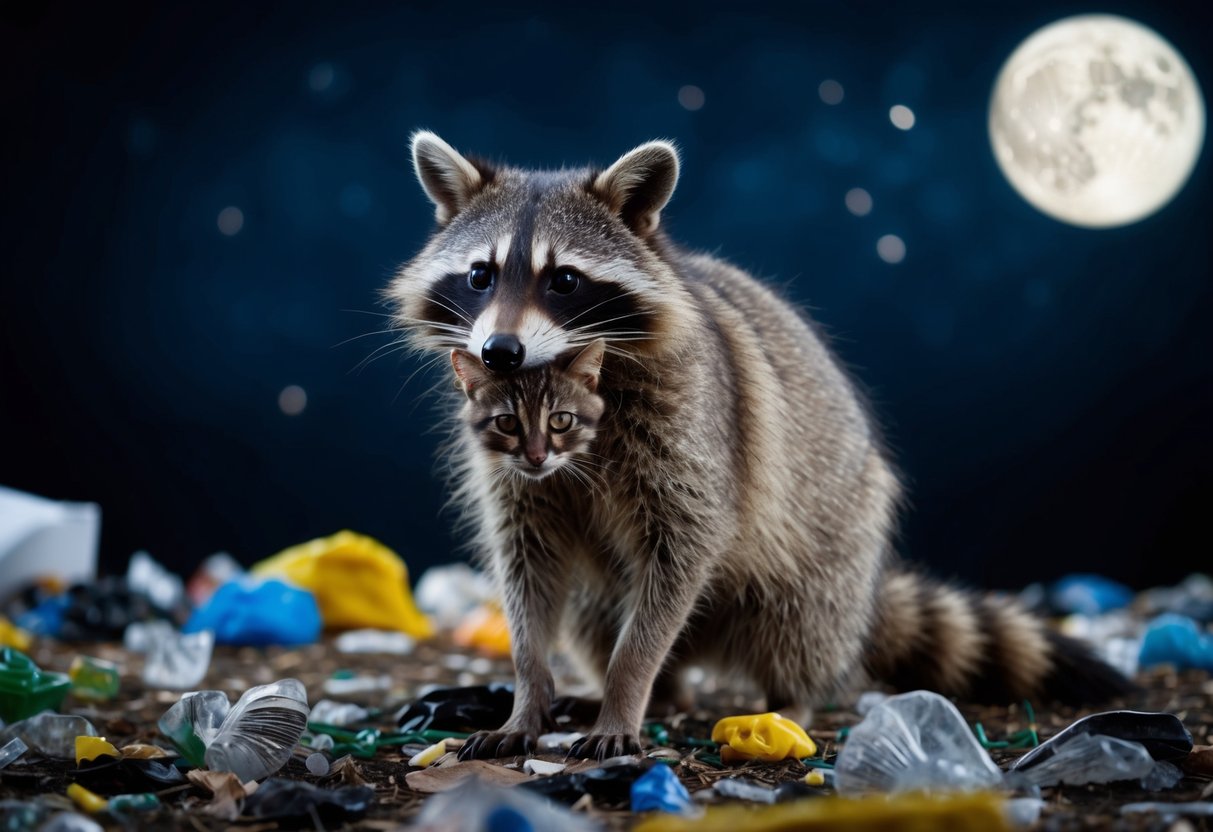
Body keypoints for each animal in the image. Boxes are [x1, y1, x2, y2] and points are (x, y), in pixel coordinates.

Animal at [388, 132, 1132, 760]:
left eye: (563, 279)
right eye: (480, 275)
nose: (500, 351)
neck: (555, 372)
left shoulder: (693, 426)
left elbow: (686, 542)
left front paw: (627, 688)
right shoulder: (511, 464)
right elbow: (528, 567)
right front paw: (529, 692)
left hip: (830, 546)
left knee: (796, 625)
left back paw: (779, 699)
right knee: (592, 612)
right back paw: (650, 690)